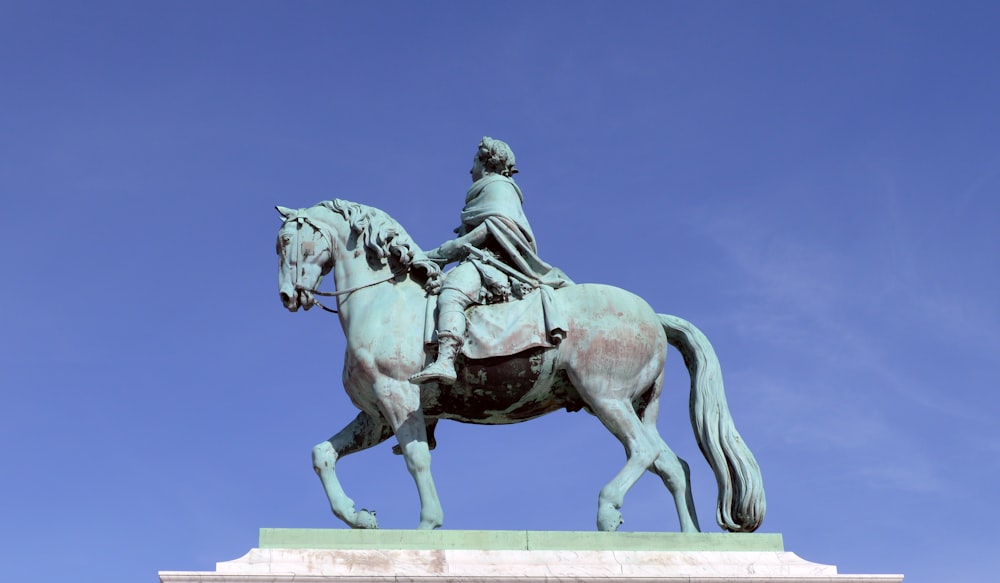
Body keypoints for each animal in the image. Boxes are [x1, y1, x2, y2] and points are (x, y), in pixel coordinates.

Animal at [276, 200, 764, 532]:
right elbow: (322, 454)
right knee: (672, 466)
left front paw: (428, 525)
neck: (384, 302)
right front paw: (360, 517)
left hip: (604, 395)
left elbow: (416, 459)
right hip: (636, 404)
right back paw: (690, 539)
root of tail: (655, 317)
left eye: (284, 242)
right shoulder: (375, 415)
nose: (287, 296)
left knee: (643, 452)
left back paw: (608, 511)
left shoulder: (398, 398)